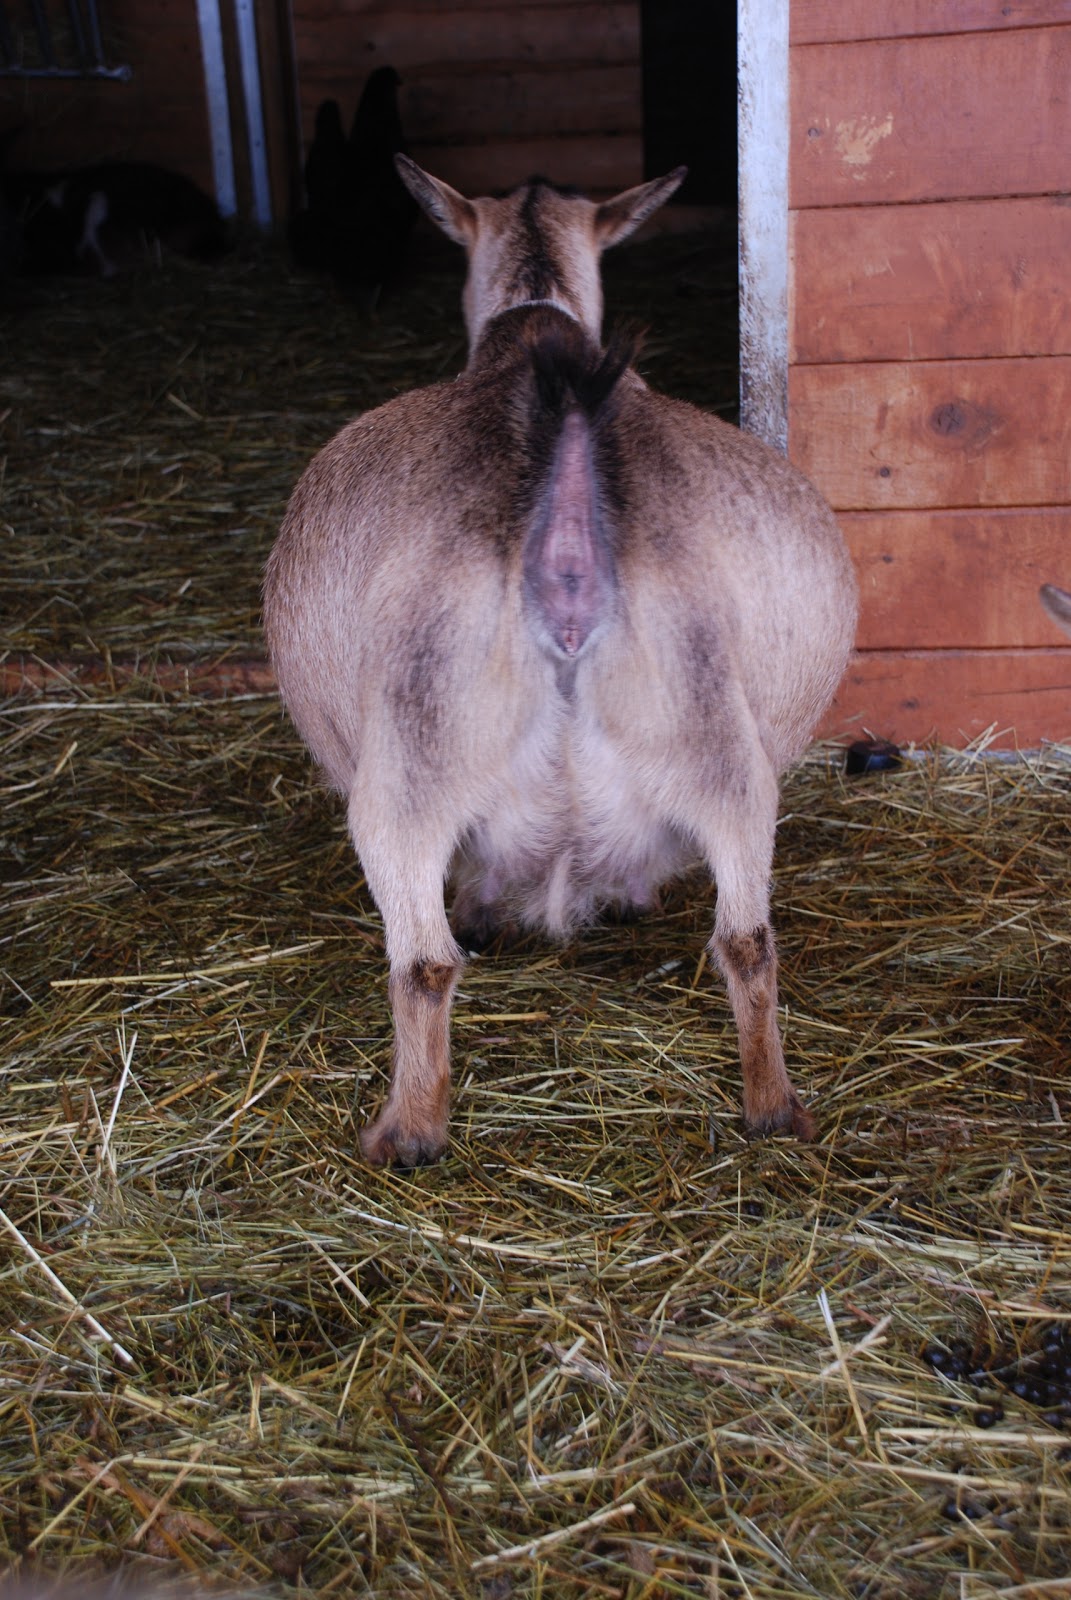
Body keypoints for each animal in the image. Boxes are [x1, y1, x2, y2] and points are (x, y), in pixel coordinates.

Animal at [263, 158, 858, 1168]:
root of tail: (570, 550)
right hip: (718, 744)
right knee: (747, 940)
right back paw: (774, 1111)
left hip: (410, 765)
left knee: (424, 960)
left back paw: (405, 1133)